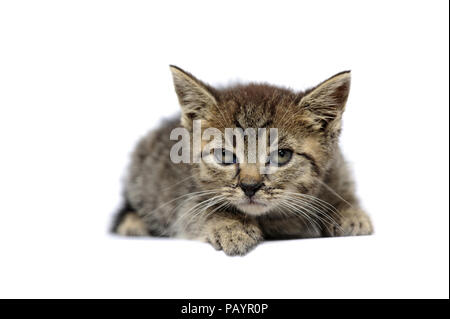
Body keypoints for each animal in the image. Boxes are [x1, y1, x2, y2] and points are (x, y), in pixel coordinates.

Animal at [112, 65, 372, 258]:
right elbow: (199, 211)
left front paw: (349, 213)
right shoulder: (187, 199)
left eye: (282, 155)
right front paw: (231, 226)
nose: (249, 186)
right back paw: (132, 224)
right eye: (224, 155)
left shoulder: (338, 168)